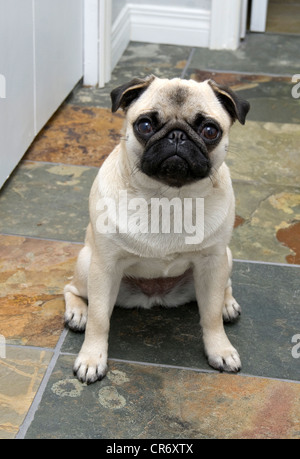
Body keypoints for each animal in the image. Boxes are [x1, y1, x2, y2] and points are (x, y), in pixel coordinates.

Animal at [64, 75, 250, 384]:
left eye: (210, 130)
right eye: (145, 125)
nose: (177, 136)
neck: (169, 198)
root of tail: (155, 296)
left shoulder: (212, 263)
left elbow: (210, 316)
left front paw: (220, 349)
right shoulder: (104, 268)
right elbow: (99, 319)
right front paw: (91, 358)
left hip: (225, 257)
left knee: (224, 286)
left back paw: (227, 304)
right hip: (87, 264)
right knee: (71, 289)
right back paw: (78, 313)